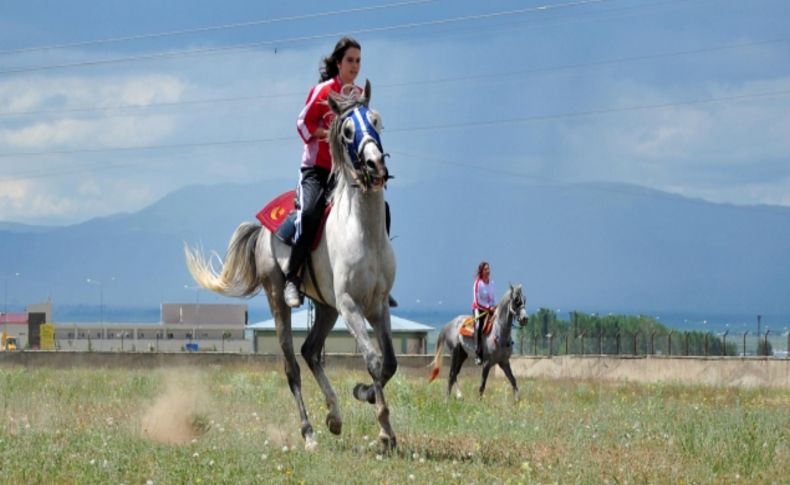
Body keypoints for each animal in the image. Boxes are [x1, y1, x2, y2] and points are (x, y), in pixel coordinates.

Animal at [183, 80, 400, 450]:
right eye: (346, 130)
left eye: (376, 120)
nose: (374, 165)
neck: (363, 231)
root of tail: (261, 231)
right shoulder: (350, 304)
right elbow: (373, 360)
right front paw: (384, 430)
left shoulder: (378, 303)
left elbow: (389, 363)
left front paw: (365, 394)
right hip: (279, 298)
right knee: (291, 365)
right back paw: (309, 432)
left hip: (326, 307)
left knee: (310, 350)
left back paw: (334, 417)